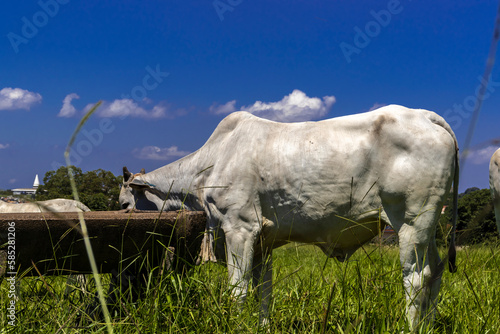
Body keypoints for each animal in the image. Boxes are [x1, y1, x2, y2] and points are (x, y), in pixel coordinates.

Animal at [120, 105, 458, 328]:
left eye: (124, 204)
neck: (208, 166)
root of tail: (426, 116)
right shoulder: (263, 242)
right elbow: (263, 291)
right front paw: (262, 327)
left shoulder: (239, 228)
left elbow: (238, 290)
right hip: (427, 228)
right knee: (436, 273)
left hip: (411, 223)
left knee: (417, 278)